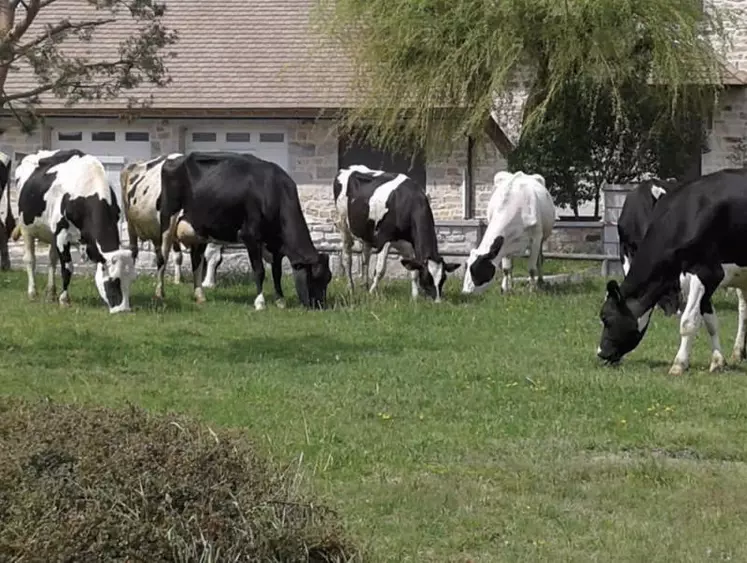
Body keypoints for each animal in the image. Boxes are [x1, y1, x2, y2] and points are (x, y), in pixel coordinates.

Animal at [8, 150, 136, 312]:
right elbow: (67, 267)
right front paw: (64, 299)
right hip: (27, 228)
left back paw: (51, 293)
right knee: (30, 260)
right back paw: (32, 292)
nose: (123, 310)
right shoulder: (62, 235)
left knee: (52, 260)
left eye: (131, 279)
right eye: (113, 281)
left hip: (51, 234)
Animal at [118, 152, 225, 298]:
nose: (209, 285)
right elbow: (170, 257)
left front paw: (196, 291)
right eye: (207, 261)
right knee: (134, 250)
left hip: (155, 230)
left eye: (219, 261)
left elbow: (192, 259)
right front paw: (164, 288)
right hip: (131, 224)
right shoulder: (169, 228)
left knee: (157, 251)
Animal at [159, 152, 332, 310]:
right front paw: (260, 302)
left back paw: (200, 296)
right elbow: (259, 270)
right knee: (164, 255)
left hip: (199, 230)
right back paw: (161, 293)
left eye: (328, 278)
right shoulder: (251, 236)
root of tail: (173, 159)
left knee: (196, 259)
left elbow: (277, 272)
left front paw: (280, 300)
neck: (273, 191)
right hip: (167, 221)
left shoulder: (275, 245)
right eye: (314, 277)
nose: (320, 305)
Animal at [334, 164, 462, 302]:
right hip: (343, 224)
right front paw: (372, 292)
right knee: (347, 256)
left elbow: (413, 271)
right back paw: (351, 288)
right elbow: (380, 270)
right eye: (427, 278)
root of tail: (348, 168)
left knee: (365, 258)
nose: (438, 301)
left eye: (443, 279)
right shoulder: (384, 239)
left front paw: (414, 296)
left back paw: (364, 286)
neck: (409, 203)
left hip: (367, 232)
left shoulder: (410, 244)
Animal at [600, 170, 747, 376]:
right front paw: (718, 361)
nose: (601, 353)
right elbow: (710, 321)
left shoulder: (707, 273)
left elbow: (688, 322)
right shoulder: (701, 278)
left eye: (606, 318)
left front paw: (679, 364)